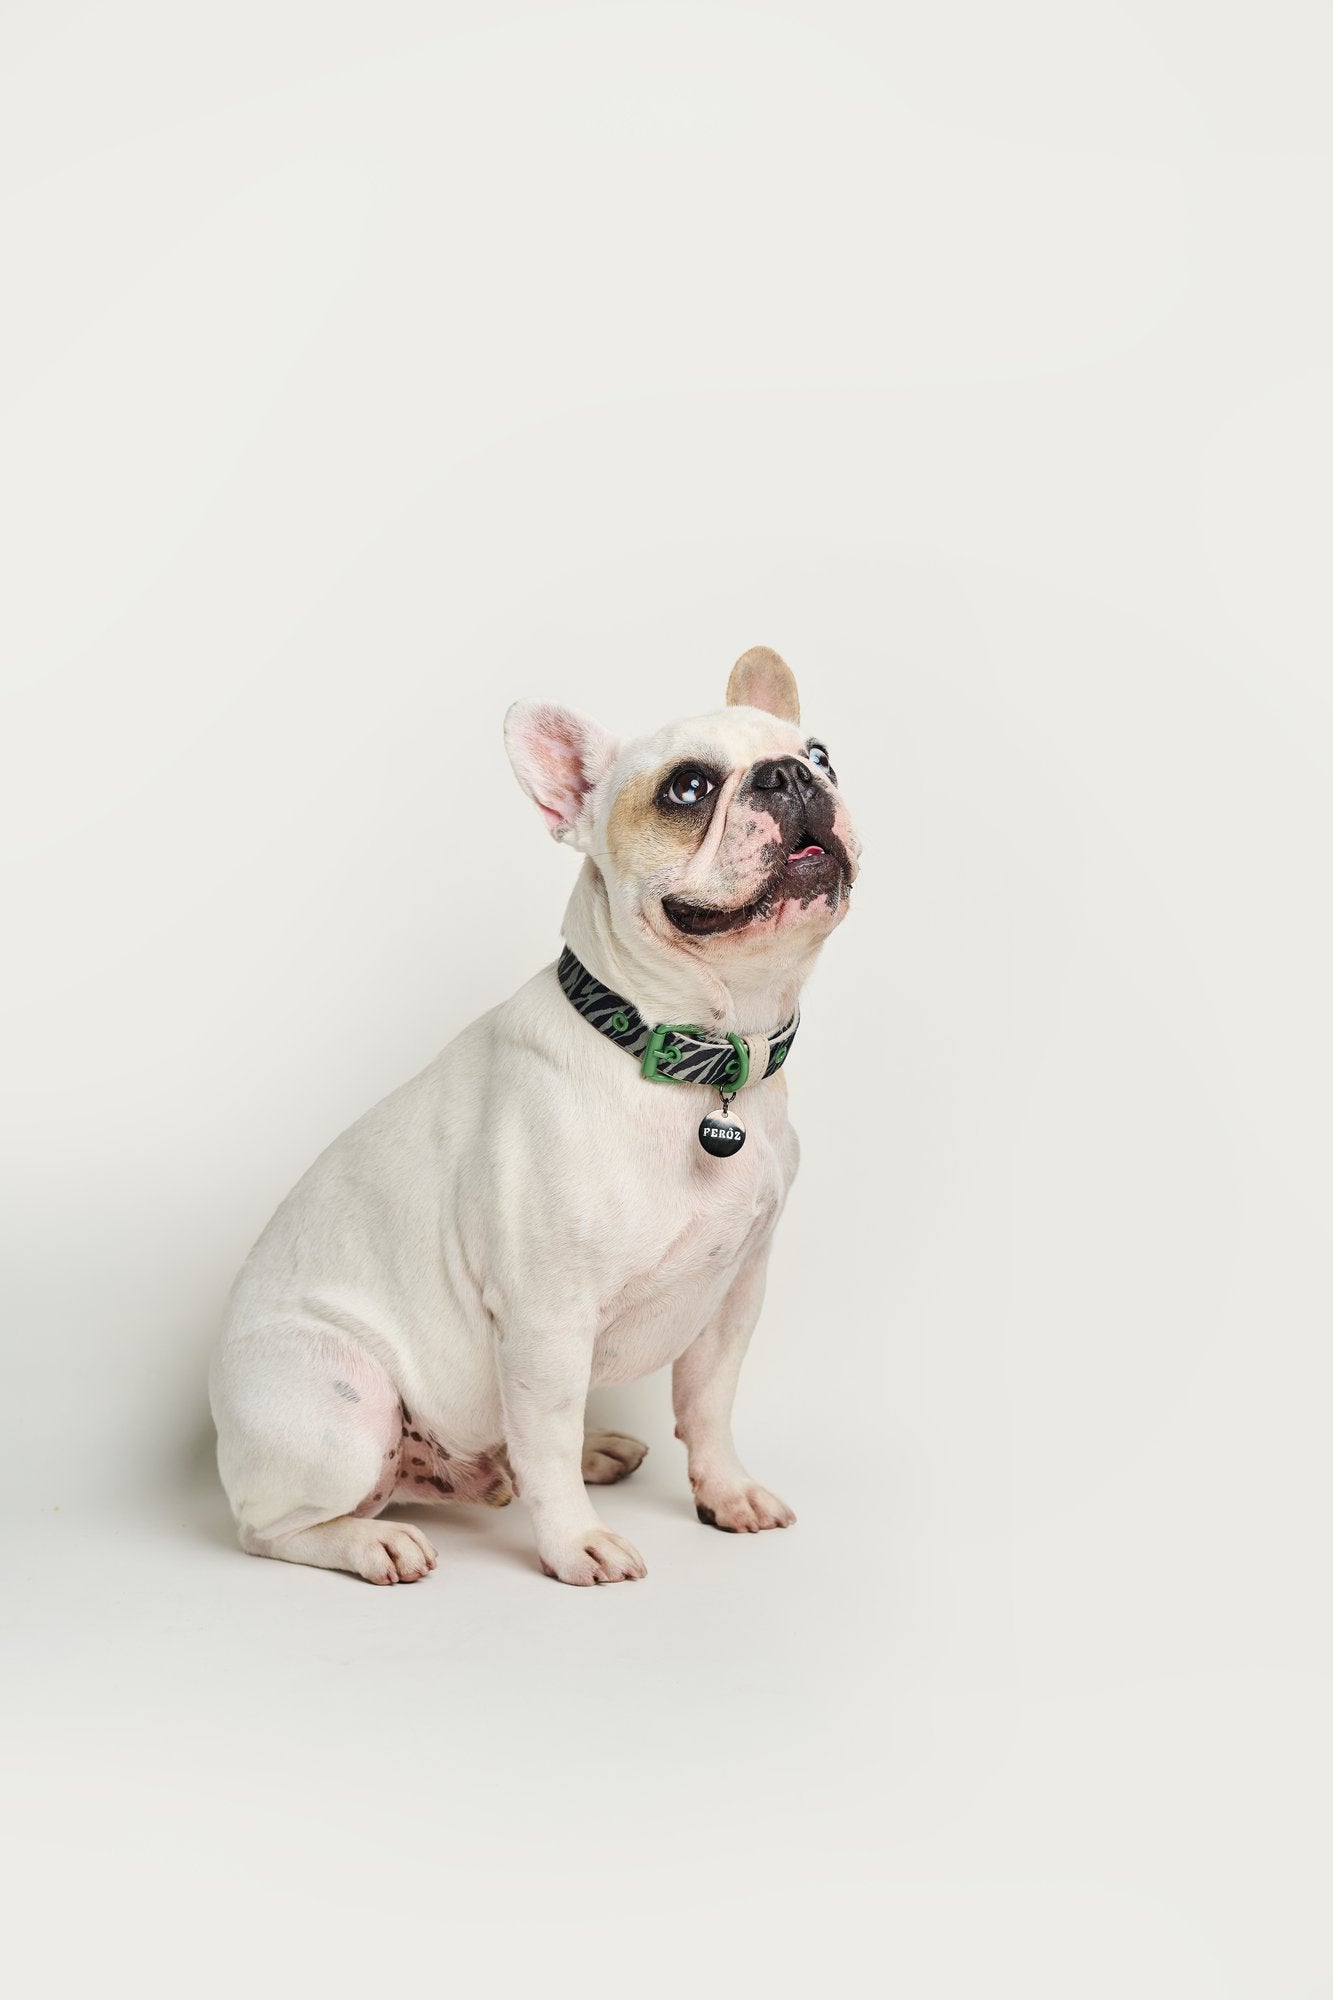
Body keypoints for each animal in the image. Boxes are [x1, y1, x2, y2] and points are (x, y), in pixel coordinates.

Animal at [205, 648, 852, 1584]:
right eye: (688, 788)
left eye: (822, 754)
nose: (789, 775)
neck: (701, 1054)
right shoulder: (546, 1320)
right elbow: (544, 1444)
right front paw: (574, 1543)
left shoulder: (734, 1298)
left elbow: (709, 1405)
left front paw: (725, 1494)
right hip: (342, 1403)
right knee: (272, 1531)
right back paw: (371, 1541)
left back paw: (588, 1450)